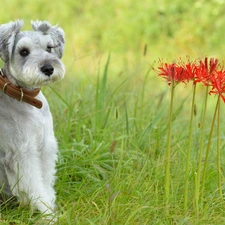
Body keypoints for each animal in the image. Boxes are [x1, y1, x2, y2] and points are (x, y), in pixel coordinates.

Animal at [0, 19, 65, 220]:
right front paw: (49, 216)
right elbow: (36, 187)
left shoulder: (44, 147)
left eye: (49, 48)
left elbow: (45, 182)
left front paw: (50, 207)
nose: (48, 68)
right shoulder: (22, 153)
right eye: (23, 51)